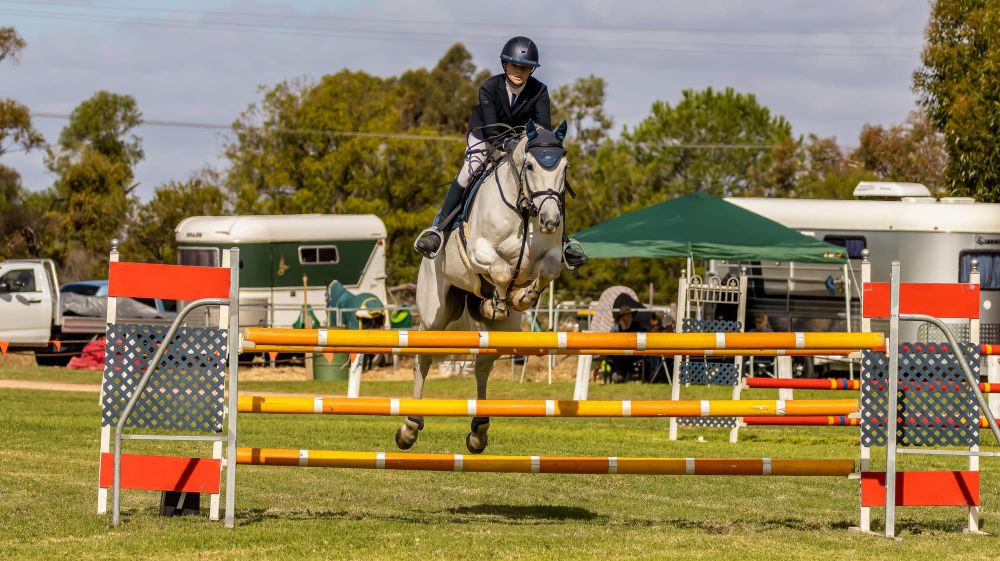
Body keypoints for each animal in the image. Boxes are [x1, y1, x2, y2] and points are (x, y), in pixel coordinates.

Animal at [396, 119, 570, 454]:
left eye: (564, 168)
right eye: (530, 165)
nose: (550, 220)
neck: (523, 208)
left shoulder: (550, 255)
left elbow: (548, 268)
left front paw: (522, 296)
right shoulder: (480, 250)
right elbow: (500, 270)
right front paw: (502, 298)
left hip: (504, 330)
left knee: (483, 364)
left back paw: (479, 430)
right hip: (434, 315)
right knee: (423, 357)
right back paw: (409, 427)